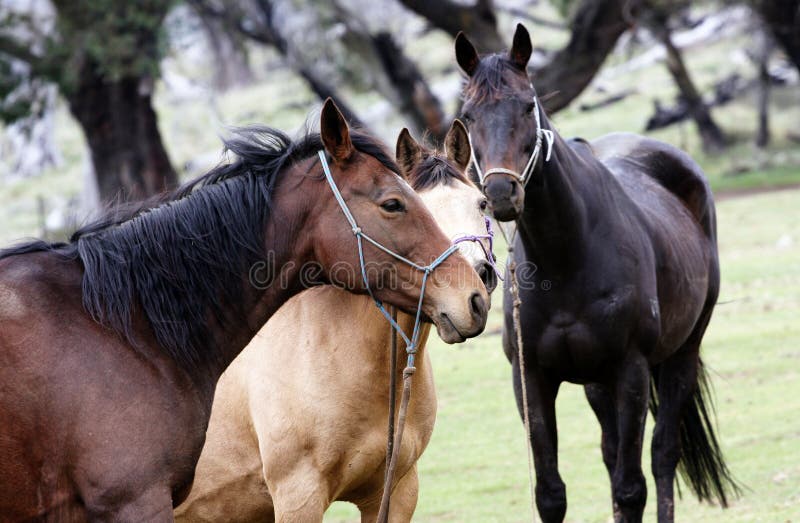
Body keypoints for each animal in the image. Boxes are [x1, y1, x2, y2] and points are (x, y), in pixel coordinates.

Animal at [453, 24, 739, 523]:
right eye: (468, 115)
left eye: (527, 104)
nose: (502, 192)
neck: (566, 259)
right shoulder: (531, 379)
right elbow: (551, 493)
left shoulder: (631, 371)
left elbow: (631, 487)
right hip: (595, 382)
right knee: (611, 452)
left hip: (681, 353)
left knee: (663, 453)